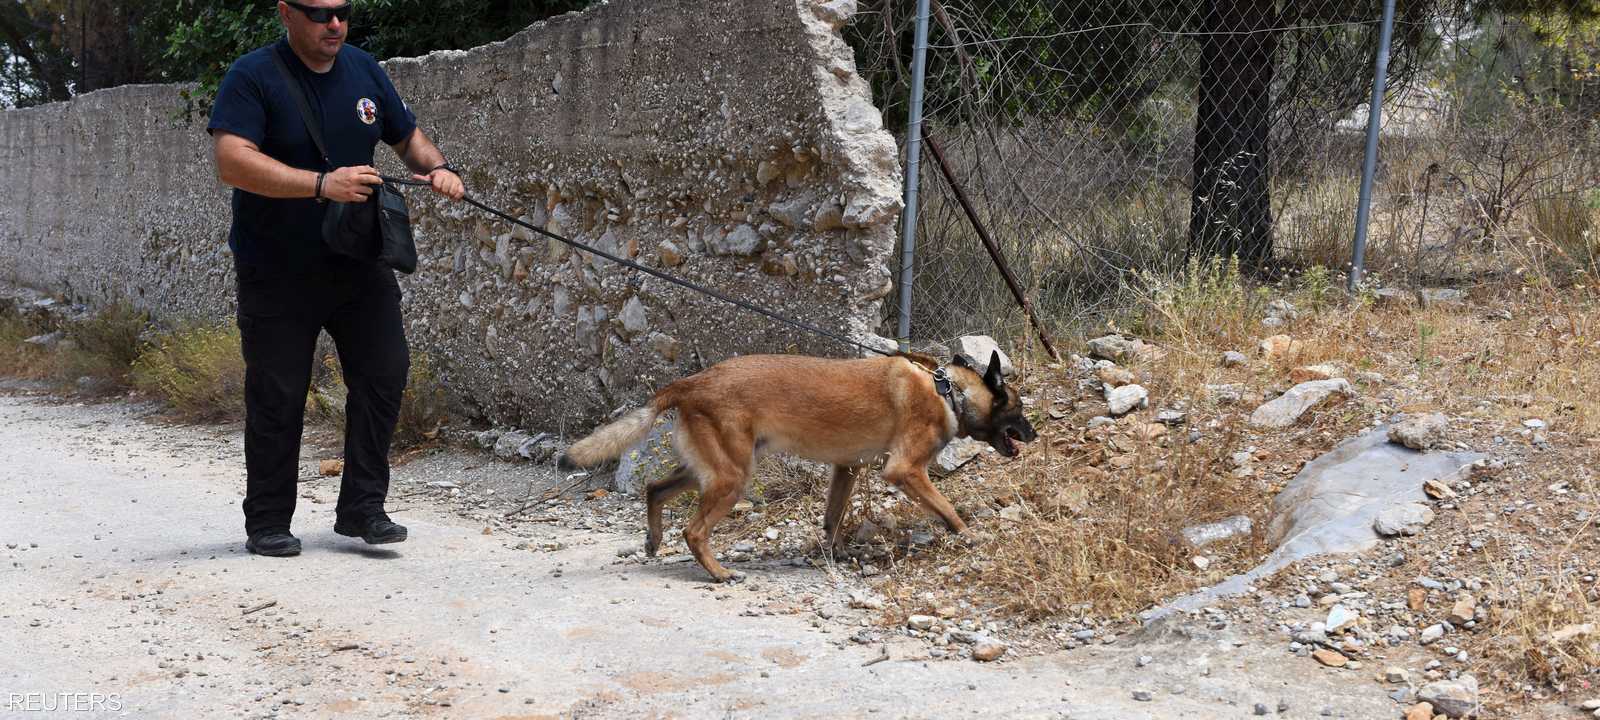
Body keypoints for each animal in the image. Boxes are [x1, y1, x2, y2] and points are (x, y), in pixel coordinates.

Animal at [560, 352, 1036, 582]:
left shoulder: (846, 470)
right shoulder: (905, 471)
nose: (1033, 435)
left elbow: (833, 517)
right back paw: (718, 573)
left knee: (654, 488)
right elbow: (948, 508)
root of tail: (691, 382)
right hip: (732, 477)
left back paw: (654, 541)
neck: (947, 391)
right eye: (1017, 408)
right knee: (693, 531)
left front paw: (835, 552)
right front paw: (968, 535)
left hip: (709, 471)